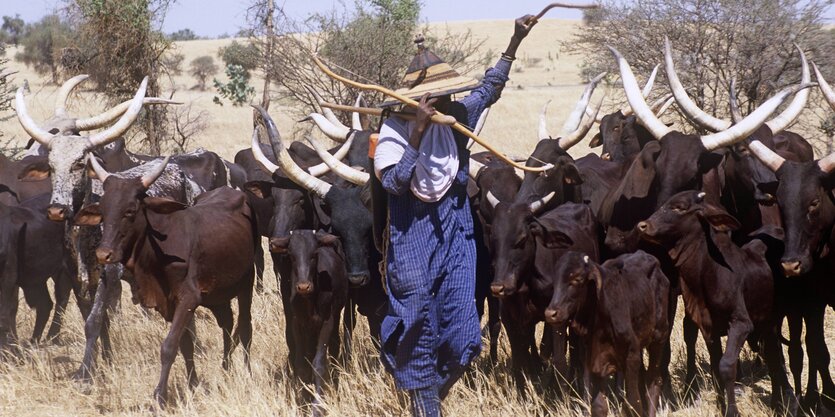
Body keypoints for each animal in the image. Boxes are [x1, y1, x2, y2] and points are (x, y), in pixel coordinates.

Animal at [75, 168, 258, 404]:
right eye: (104, 211)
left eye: (130, 210)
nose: (103, 254)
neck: (159, 248)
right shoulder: (170, 303)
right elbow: (185, 345)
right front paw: (193, 385)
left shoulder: (188, 299)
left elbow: (169, 346)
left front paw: (159, 397)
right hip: (219, 295)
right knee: (227, 322)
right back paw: (225, 368)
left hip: (246, 284)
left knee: (244, 327)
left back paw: (247, 373)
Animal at [544, 250, 668, 416]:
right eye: (555, 280)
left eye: (577, 279)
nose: (551, 313)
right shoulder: (594, 361)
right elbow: (599, 406)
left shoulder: (632, 355)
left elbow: (633, 404)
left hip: (659, 339)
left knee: (653, 382)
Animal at [644, 191, 800, 416]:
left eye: (680, 207)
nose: (643, 225)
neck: (708, 272)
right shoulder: (708, 328)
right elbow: (716, 367)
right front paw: (719, 406)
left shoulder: (741, 324)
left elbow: (726, 366)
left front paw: (731, 410)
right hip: (768, 323)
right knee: (772, 355)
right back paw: (776, 402)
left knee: (778, 354)